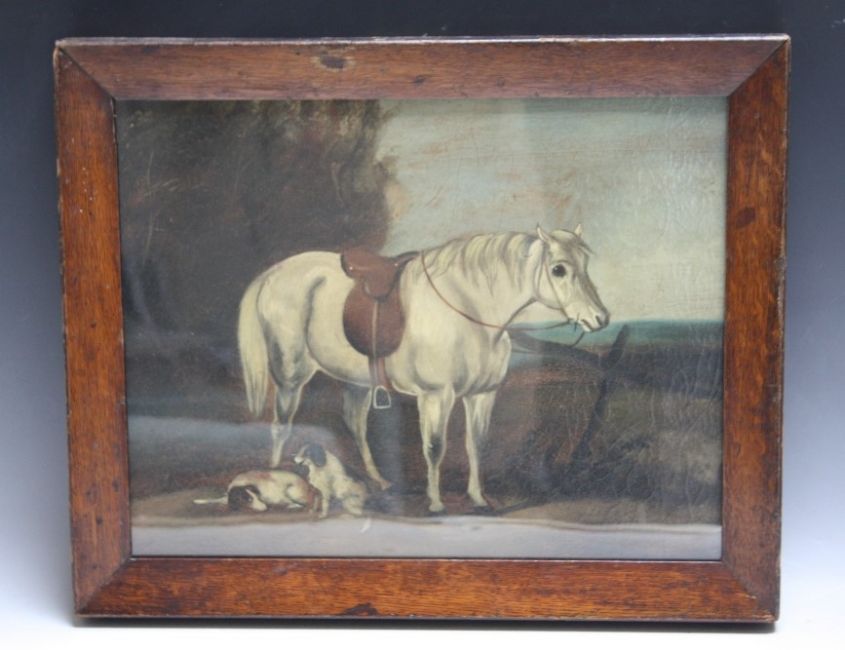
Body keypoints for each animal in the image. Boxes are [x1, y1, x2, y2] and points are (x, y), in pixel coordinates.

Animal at [193, 469, 321, 513]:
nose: (265, 508)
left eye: (257, 497)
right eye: (248, 499)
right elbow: (215, 499)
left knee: (311, 500)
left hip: (291, 491)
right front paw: (198, 501)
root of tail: (307, 484)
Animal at [237, 225, 609, 513]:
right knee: (281, 425)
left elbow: (476, 444)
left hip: (357, 380)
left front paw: (478, 498)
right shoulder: (435, 396)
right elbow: (434, 447)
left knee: (355, 424)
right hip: (290, 375)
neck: (467, 309)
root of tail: (273, 273)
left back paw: (379, 481)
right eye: (559, 269)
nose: (600, 318)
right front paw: (436, 502)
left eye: (587, 263)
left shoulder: (482, 395)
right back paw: (273, 473)